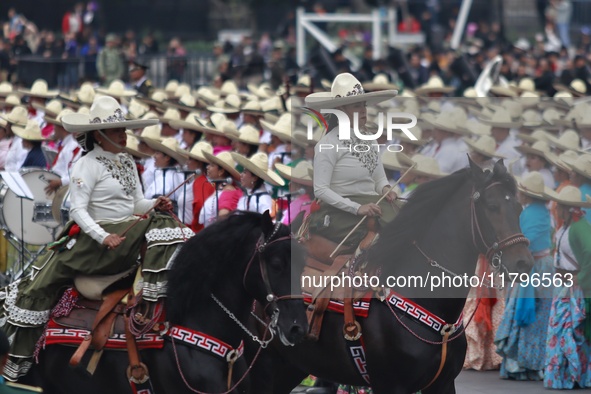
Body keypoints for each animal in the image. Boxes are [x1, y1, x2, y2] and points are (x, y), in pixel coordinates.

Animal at [250, 160, 536, 394]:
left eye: (518, 207)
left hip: (290, 366)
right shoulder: (391, 385)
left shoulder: (443, 384)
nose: (523, 263)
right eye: (492, 206)